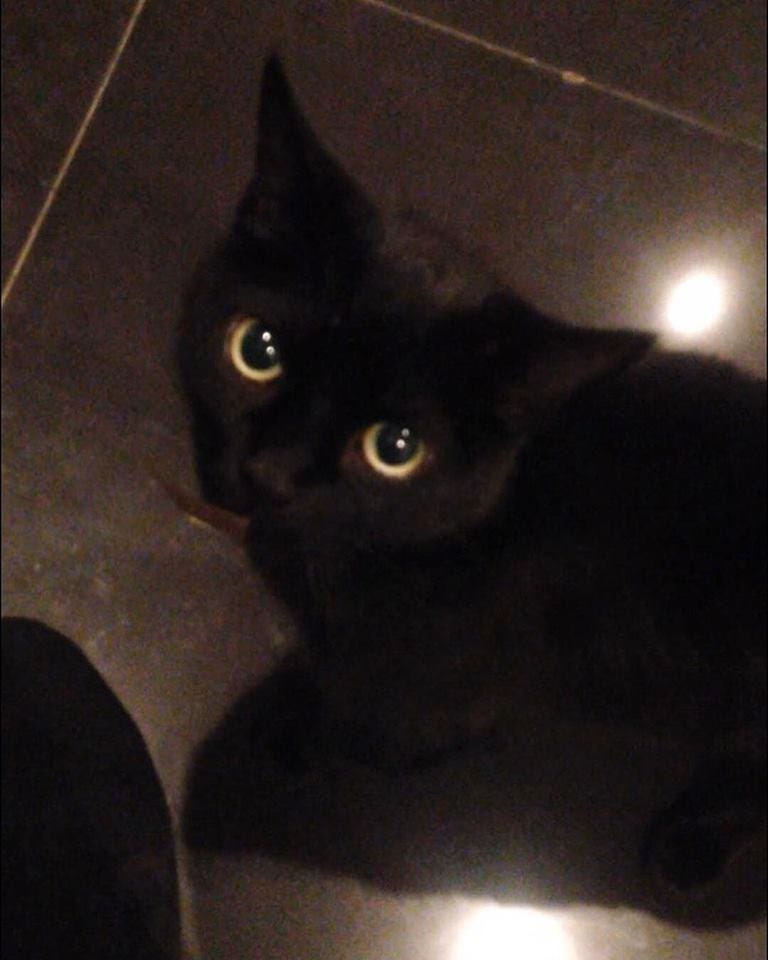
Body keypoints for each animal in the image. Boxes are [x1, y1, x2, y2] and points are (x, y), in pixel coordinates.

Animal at [177, 56, 766, 901]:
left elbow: (375, 729)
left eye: (395, 448)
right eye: (256, 350)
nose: (268, 473)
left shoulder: (443, 690)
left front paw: (292, 723)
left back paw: (693, 842)